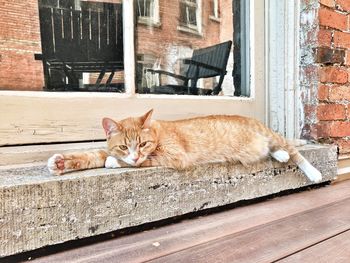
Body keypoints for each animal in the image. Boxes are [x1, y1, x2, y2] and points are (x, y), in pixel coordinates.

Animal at [47, 110, 322, 183]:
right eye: (124, 146)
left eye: (143, 144)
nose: (132, 156)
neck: (157, 132)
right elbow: (93, 154)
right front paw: (61, 162)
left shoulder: (173, 155)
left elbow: (145, 160)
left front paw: (114, 162)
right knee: (281, 150)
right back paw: (281, 155)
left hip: (271, 137)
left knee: (296, 152)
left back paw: (313, 172)